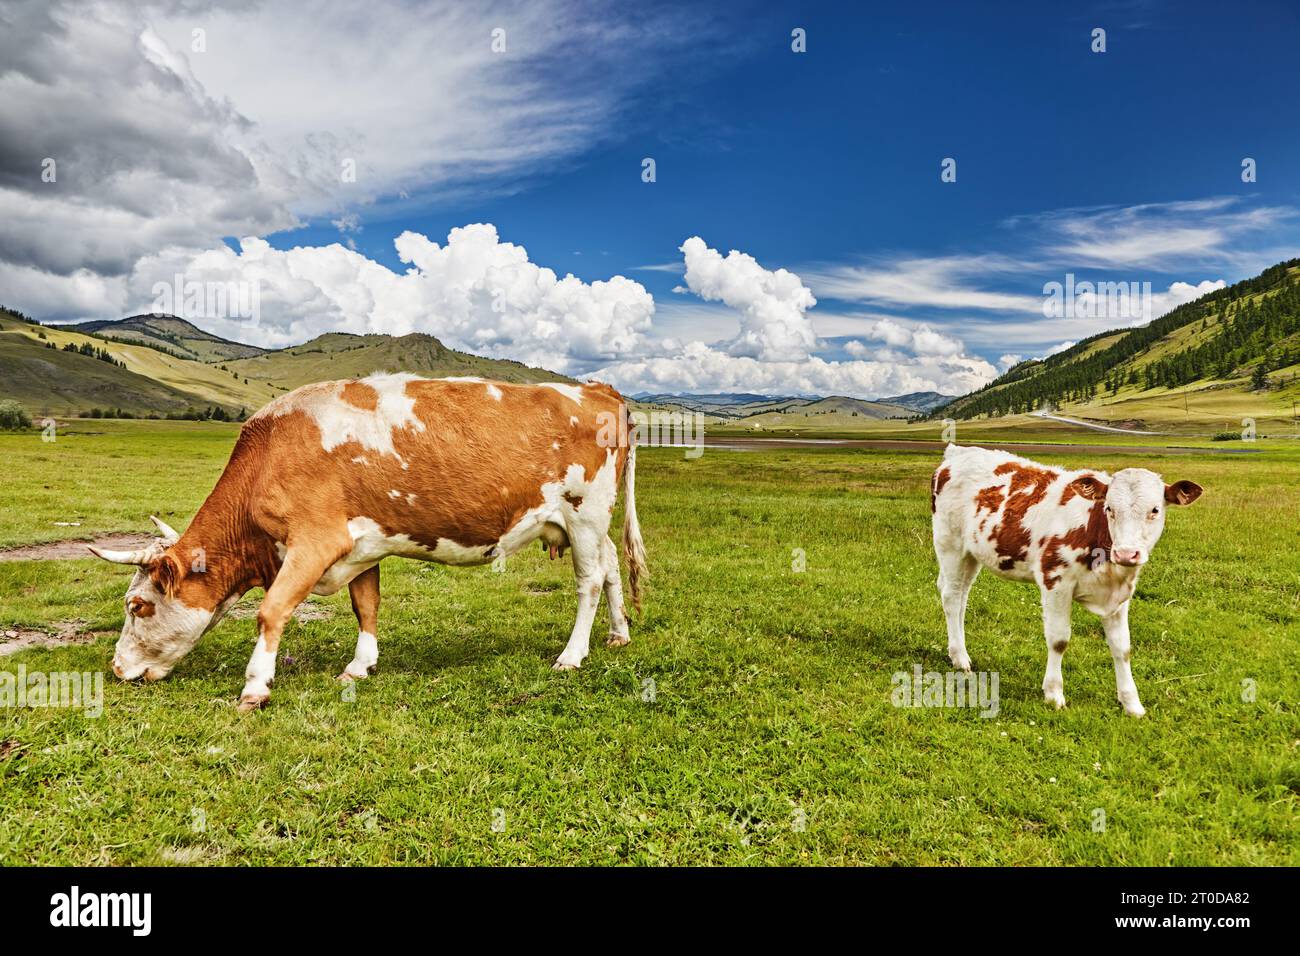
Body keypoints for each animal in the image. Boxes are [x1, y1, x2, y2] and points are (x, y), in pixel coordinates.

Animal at [90, 373, 647, 711]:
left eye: (137, 605)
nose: (116, 669)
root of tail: (598, 390)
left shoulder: (314, 542)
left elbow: (271, 611)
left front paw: (255, 687)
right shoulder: (362, 548)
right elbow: (367, 606)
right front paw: (360, 666)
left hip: (584, 511)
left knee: (589, 582)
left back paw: (572, 655)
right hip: (592, 522)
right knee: (612, 568)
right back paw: (618, 634)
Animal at [930, 443, 1202, 716]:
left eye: (1155, 510)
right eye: (1109, 509)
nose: (1126, 553)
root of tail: (958, 452)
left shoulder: (1120, 594)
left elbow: (1122, 648)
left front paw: (1132, 703)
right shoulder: (1055, 581)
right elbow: (1059, 639)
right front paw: (1053, 693)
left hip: (972, 554)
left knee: (962, 597)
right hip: (950, 543)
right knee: (951, 597)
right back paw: (960, 657)